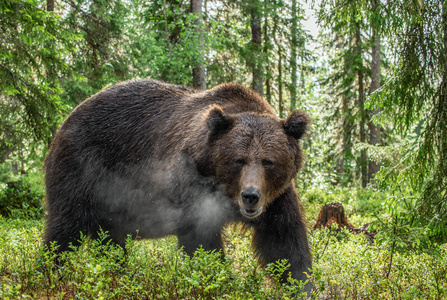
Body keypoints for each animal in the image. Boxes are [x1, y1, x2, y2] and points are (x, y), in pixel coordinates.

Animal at [43, 79, 314, 292]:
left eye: (268, 161)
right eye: (239, 160)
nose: (251, 196)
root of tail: (67, 119)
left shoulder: (277, 198)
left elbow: (285, 243)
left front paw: (302, 285)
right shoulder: (191, 184)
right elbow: (203, 242)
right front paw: (218, 280)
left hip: (111, 201)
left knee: (108, 240)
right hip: (80, 170)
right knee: (65, 229)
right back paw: (51, 272)